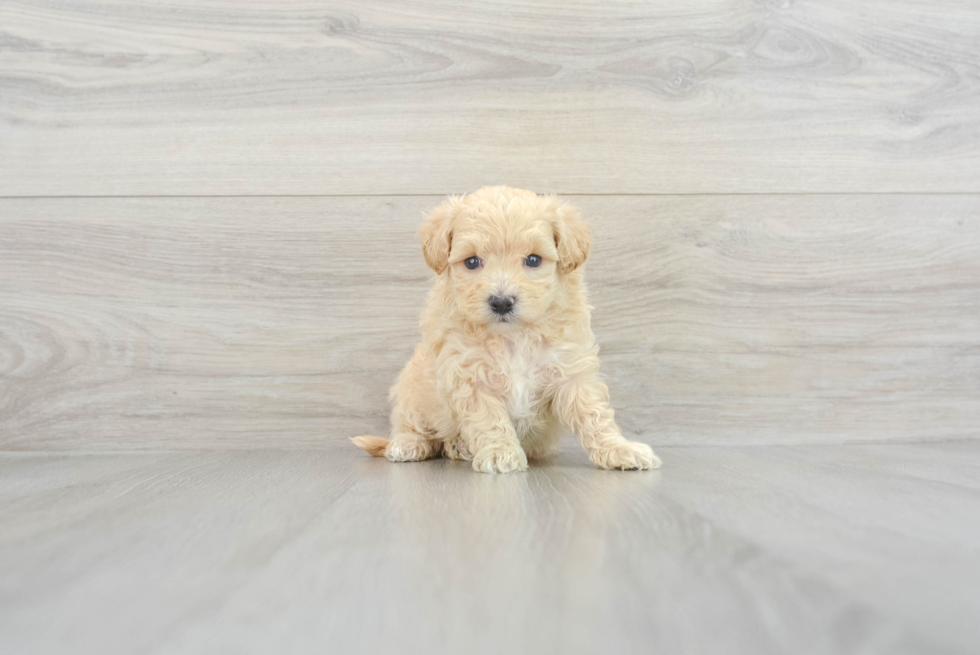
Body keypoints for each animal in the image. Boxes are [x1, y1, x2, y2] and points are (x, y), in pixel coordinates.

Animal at [350, 187, 660, 474]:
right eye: (472, 262)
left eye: (533, 260)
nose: (501, 302)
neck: (514, 336)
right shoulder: (470, 376)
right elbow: (489, 419)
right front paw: (500, 453)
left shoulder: (571, 369)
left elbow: (593, 414)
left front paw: (619, 449)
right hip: (412, 389)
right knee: (412, 425)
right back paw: (410, 444)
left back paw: (458, 447)